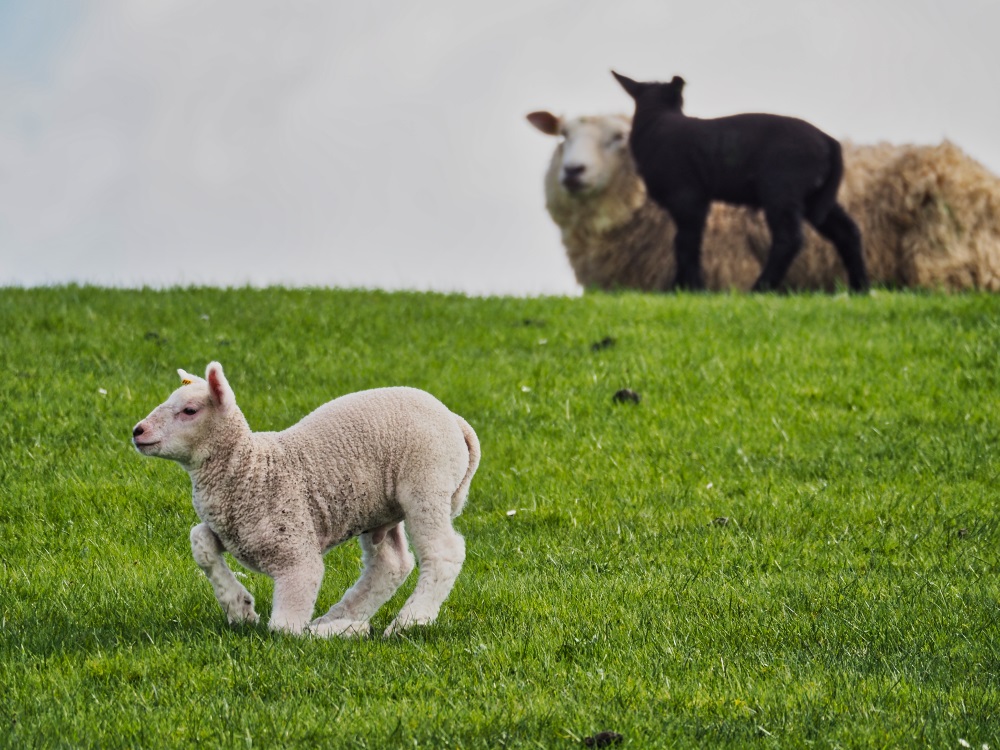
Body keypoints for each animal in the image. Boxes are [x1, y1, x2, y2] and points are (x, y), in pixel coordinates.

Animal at [132, 364, 480, 640]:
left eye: (189, 410)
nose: (137, 431)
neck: (253, 470)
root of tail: (455, 419)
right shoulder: (234, 532)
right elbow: (200, 541)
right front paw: (239, 607)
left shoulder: (296, 556)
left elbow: (285, 629)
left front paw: (341, 632)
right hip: (378, 508)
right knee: (390, 563)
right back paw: (341, 615)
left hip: (427, 483)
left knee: (443, 553)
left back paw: (406, 622)